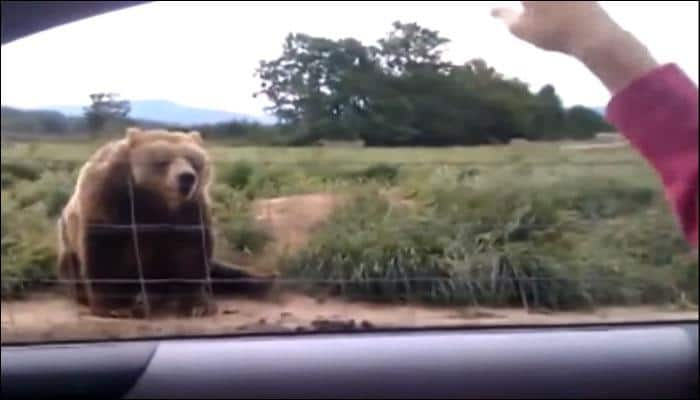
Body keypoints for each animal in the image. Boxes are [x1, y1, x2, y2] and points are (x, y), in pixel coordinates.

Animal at [57, 128, 272, 318]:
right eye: (163, 161)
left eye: (193, 160)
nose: (186, 178)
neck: (156, 201)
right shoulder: (110, 199)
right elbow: (106, 251)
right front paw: (116, 307)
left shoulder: (188, 210)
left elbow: (191, 252)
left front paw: (197, 306)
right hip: (68, 250)